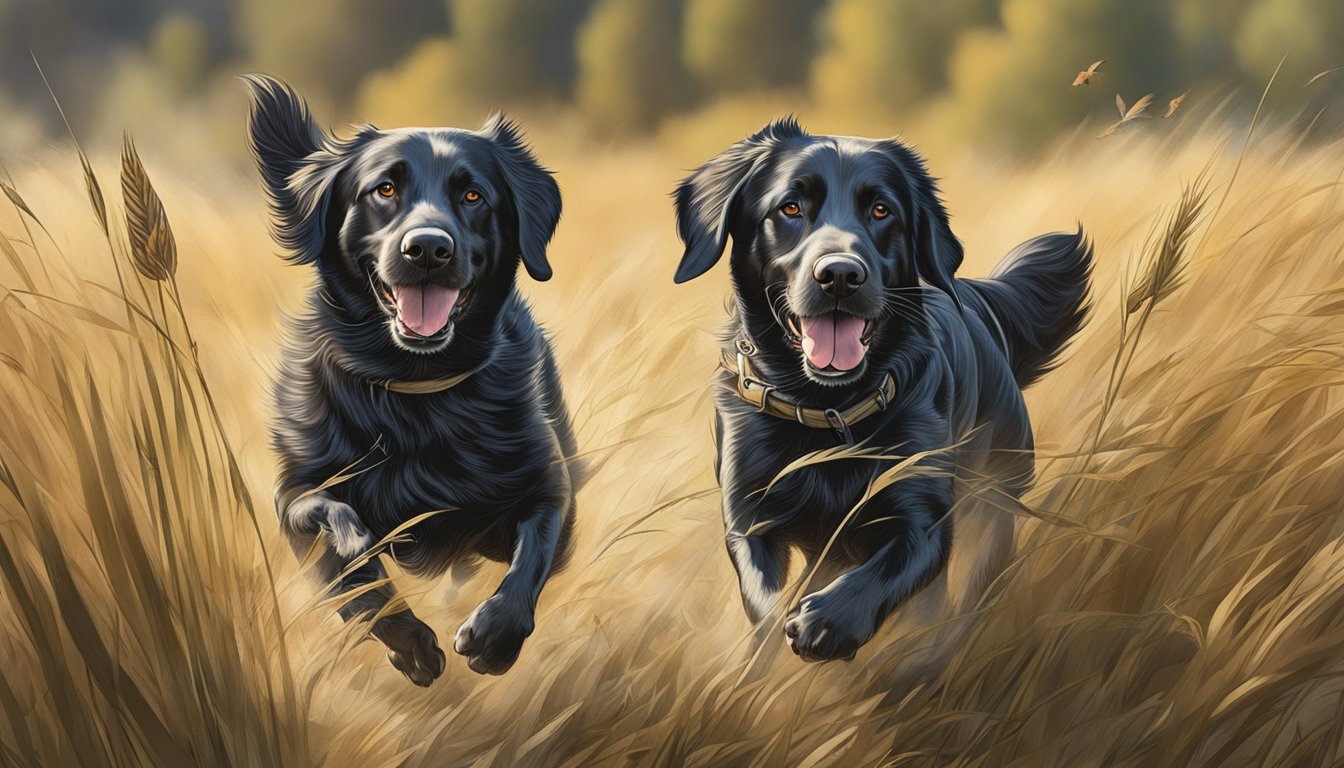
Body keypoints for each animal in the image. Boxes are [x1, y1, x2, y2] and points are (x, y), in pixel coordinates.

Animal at [245, 74, 577, 683]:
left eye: (473, 196)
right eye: (383, 190)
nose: (427, 248)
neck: (415, 391)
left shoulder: (549, 485)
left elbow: (532, 555)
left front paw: (496, 637)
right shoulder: (293, 496)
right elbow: (350, 563)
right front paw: (411, 642)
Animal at [672, 119, 1091, 661]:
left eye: (881, 210)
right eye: (790, 207)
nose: (840, 275)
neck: (829, 409)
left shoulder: (923, 518)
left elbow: (884, 571)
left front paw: (827, 623)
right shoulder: (749, 516)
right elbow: (764, 597)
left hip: (996, 493)